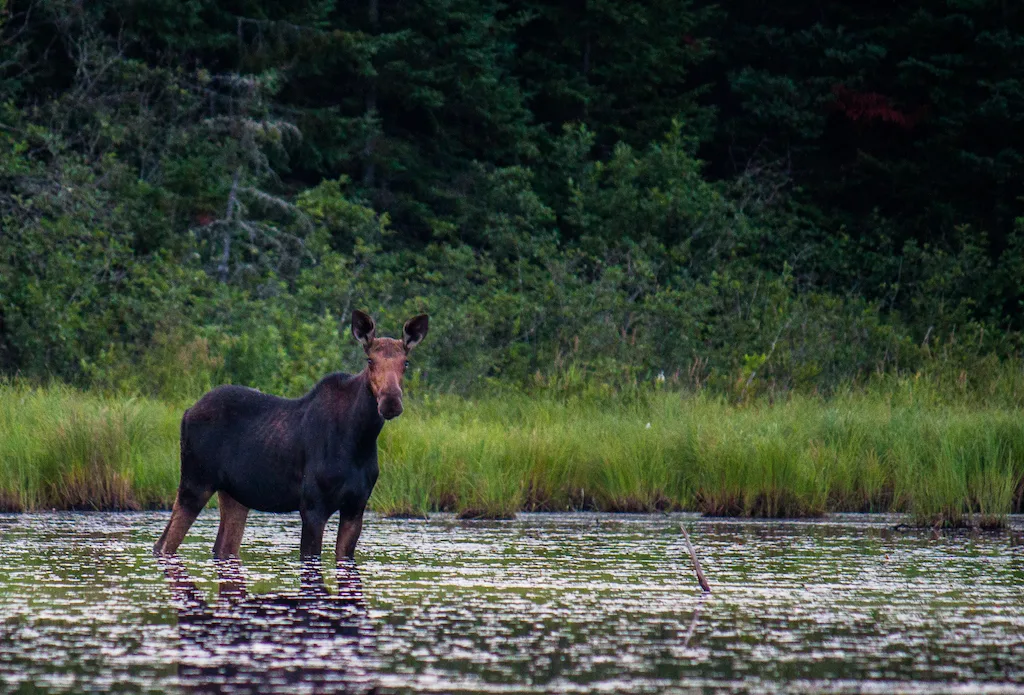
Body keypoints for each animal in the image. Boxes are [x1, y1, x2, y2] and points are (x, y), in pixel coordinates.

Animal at [152, 313, 428, 560]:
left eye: (405, 363)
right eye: (370, 360)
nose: (390, 401)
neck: (360, 440)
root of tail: (187, 412)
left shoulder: (356, 507)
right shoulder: (312, 506)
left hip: (234, 494)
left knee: (222, 548)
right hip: (195, 482)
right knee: (163, 544)